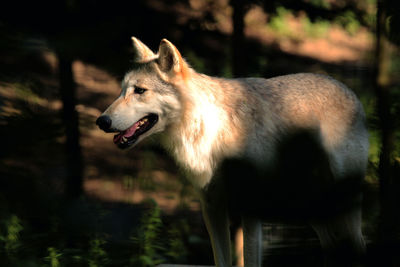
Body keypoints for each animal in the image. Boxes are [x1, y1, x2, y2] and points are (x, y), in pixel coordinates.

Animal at [96, 36, 368, 266]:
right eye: (122, 91)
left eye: (140, 91)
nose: (101, 121)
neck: (210, 131)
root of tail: (350, 91)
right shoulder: (212, 208)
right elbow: (222, 260)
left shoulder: (250, 212)